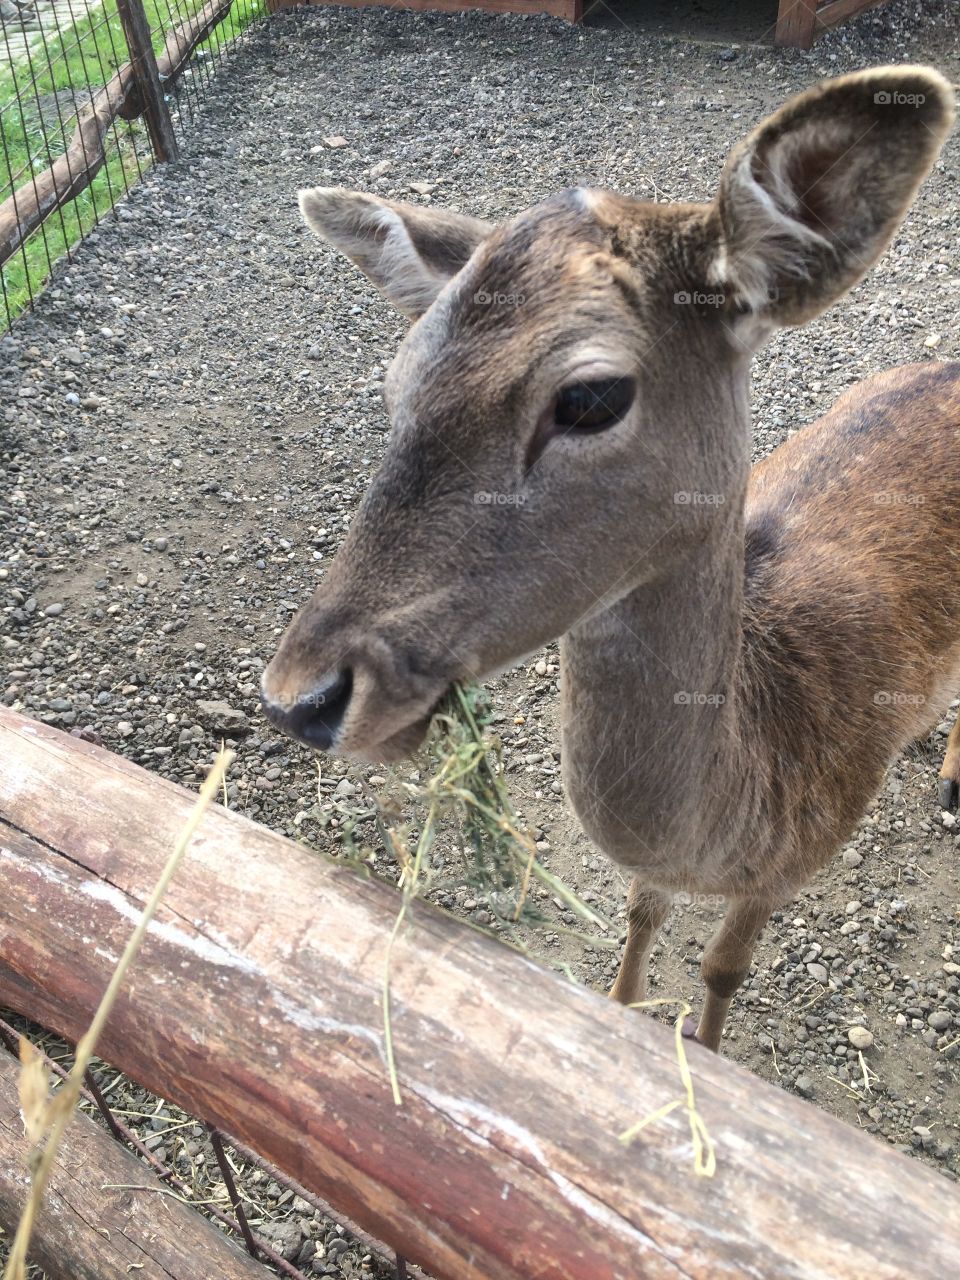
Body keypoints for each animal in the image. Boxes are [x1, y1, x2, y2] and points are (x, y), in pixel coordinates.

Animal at [261, 66, 960, 1052]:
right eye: (396, 381)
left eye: (591, 397)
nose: (301, 697)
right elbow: (641, 916)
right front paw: (624, 1009)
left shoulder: (801, 859)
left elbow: (722, 968)